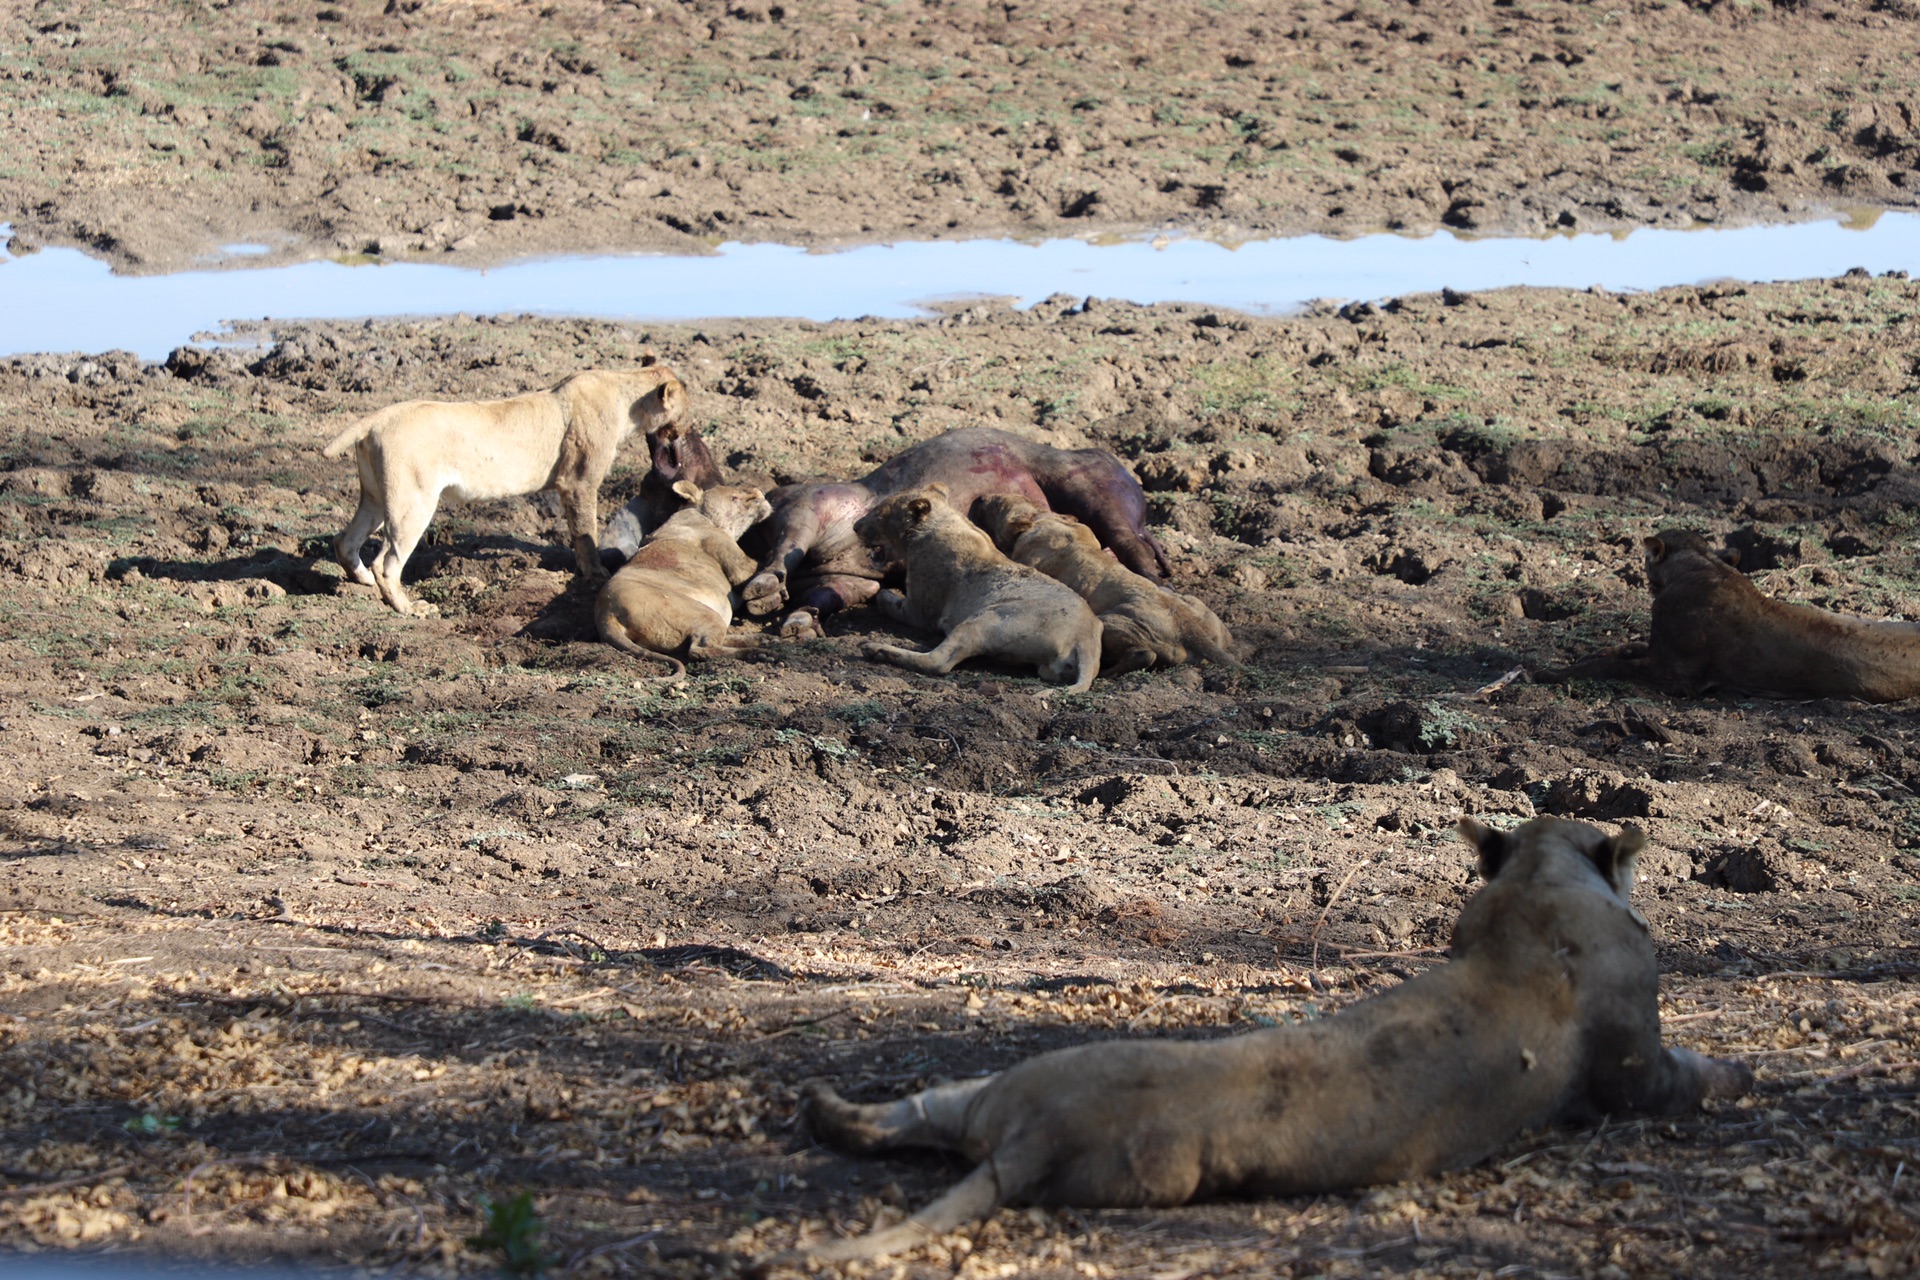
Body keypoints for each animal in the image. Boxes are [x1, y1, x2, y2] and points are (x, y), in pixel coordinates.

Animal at [322, 358, 691, 617]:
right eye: (687, 408)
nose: (690, 427)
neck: (626, 398)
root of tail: (377, 418)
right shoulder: (579, 482)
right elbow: (585, 533)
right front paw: (596, 574)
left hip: (376, 497)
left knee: (345, 540)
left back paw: (363, 582)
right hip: (412, 501)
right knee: (386, 563)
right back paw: (410, 608)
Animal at [602, 483, 775, 679]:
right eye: (734, 497)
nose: (760, 493)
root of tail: (605, 614)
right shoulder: (733, 559)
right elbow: (752, 570)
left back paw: (764, 640)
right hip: (702, 613)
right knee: (699, 650)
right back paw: (759, 653)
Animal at [852, 483, 1105, 702]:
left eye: (879, 512)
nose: (855, 526)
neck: (940, 521)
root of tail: (1087, 640)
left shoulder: (921, 612)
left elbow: (887, 600)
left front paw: (883, 594)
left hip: (984, 620)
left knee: (939, 661)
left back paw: (875, 650)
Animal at [983, 491, 1236, 675]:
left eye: (997, 506)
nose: (982, 498)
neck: (1041, 517)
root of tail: (1188, 625)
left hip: (1109, 622)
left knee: (1145, 655)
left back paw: (1106, 671)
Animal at [1536, 529, 1920, 702]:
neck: (1702, 565)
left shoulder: (1675, 676)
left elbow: (1609, 666)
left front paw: (1548, 673)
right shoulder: (1656, 649)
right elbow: (1621, 649)